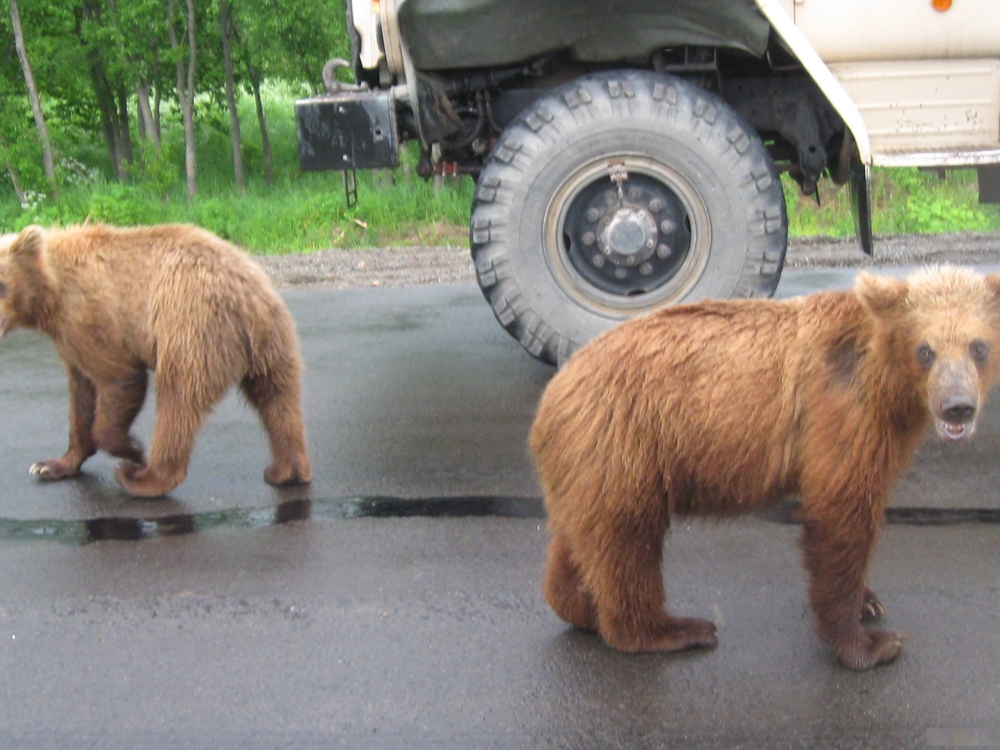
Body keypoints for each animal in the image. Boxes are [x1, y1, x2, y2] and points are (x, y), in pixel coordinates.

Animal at [0, 223, 312, 500]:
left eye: (1, 283)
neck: (52, 292)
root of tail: (249, 298)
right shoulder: (69, 341)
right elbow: (81, 396)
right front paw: (51, 465)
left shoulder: (92, 315)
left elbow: (119, 377)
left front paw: (133, 450)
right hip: (271, 344)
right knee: (277, 399)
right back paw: (286, 471)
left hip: (190, 326)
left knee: (178, 400)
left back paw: (143, 477)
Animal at [532, 268, 1000, 672]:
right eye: (926, 349)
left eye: (978, 346)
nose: (957, 406)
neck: (887, 381)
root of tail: (550, 398)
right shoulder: (841, 410)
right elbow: (839, 513)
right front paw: (870, 642)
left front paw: (870, 601)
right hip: (625, 445)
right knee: (628, 543)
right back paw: (674, 629)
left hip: (588, 466)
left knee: (581, 539)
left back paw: (579, 607)